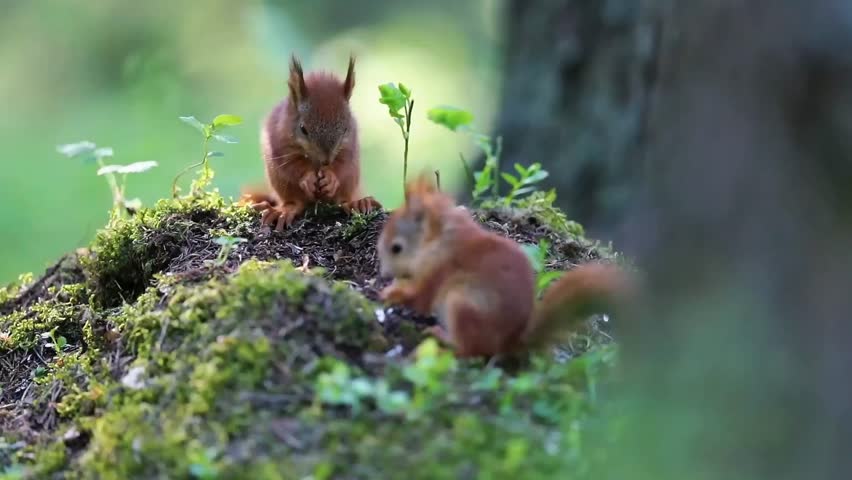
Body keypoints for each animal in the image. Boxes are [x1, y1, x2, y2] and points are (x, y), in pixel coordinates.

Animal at [243, 54, 381, 230]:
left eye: (345, 129)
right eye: (303, 129)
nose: (326, 161)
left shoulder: (350, 144)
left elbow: (344, 163)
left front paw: (331, 178)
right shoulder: (278, 140)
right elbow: (291, 165)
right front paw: (307, 178)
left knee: (342, 199)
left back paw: (357, 203)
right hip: (281, 183)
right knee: (294, 202)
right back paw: (282, 211)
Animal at [377, 175, 634, 358]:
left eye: (396, 248)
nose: (384, 273)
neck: (439, 240)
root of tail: (512, 342)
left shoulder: (441, 269)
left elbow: (420, 299)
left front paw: (392, 293)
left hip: (463, 304)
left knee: (472, 351)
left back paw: (443, 338)